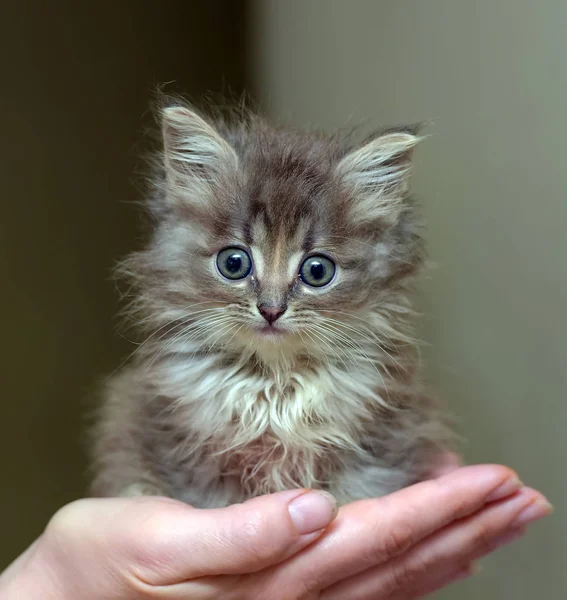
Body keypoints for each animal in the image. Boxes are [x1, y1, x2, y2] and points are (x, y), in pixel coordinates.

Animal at [90, 102, 452, 506]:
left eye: (317, 270)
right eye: (233, 263)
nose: (271, 309)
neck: (274, 383)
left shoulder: (384, 437)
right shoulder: (179, 447)